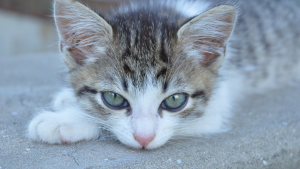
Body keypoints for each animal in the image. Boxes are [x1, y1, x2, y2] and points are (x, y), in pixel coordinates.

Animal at [27, 0, 298, 149]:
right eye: (114, 98)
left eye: (175, 101)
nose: (144, 139)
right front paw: (67, 99)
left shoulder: (216, 108)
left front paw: (63, 121)